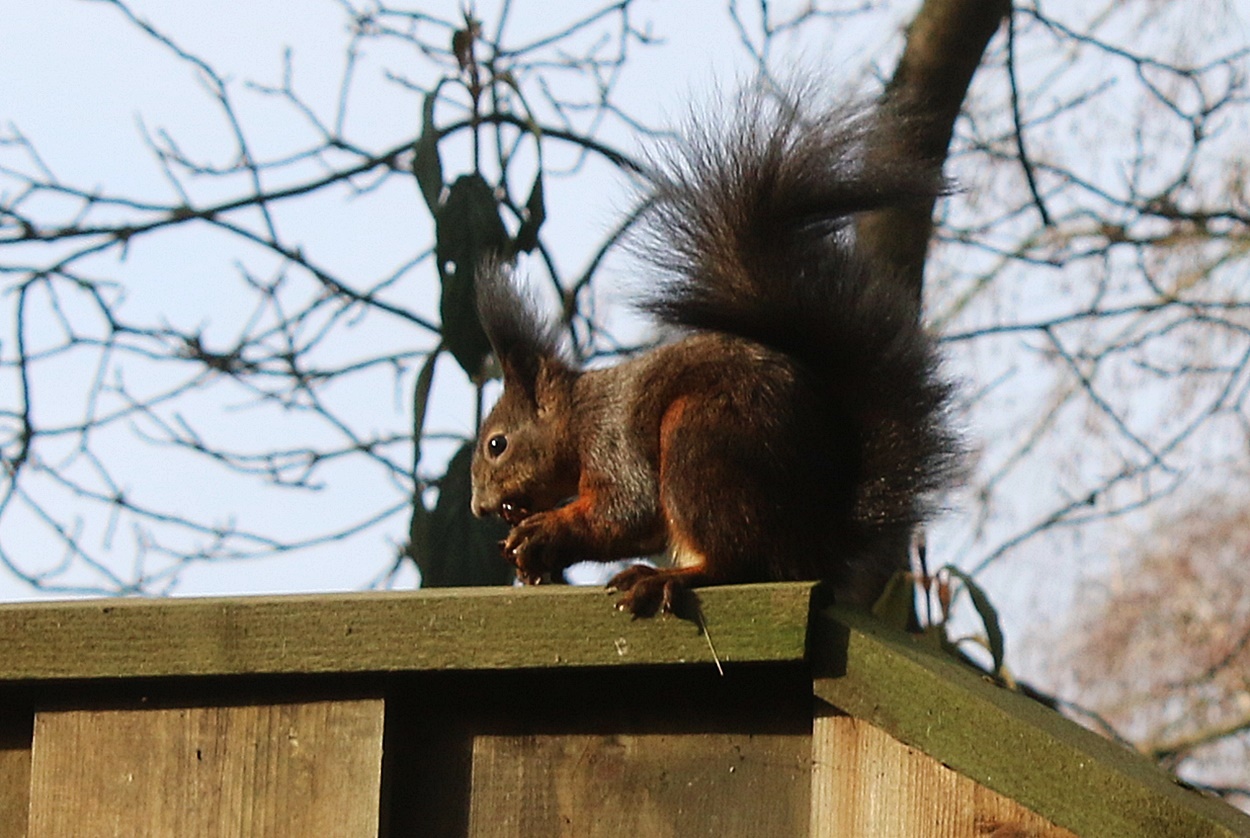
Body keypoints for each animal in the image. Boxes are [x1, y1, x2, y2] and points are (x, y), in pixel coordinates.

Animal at [467, 90, 955, 617]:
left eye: (497, 444)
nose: (479, 507)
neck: (579, 418)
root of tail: (820, 535)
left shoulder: (612, 441)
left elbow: (630, 509)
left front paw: (547, 530)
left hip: (701, 443)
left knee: (739, 562)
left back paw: (663, 578)